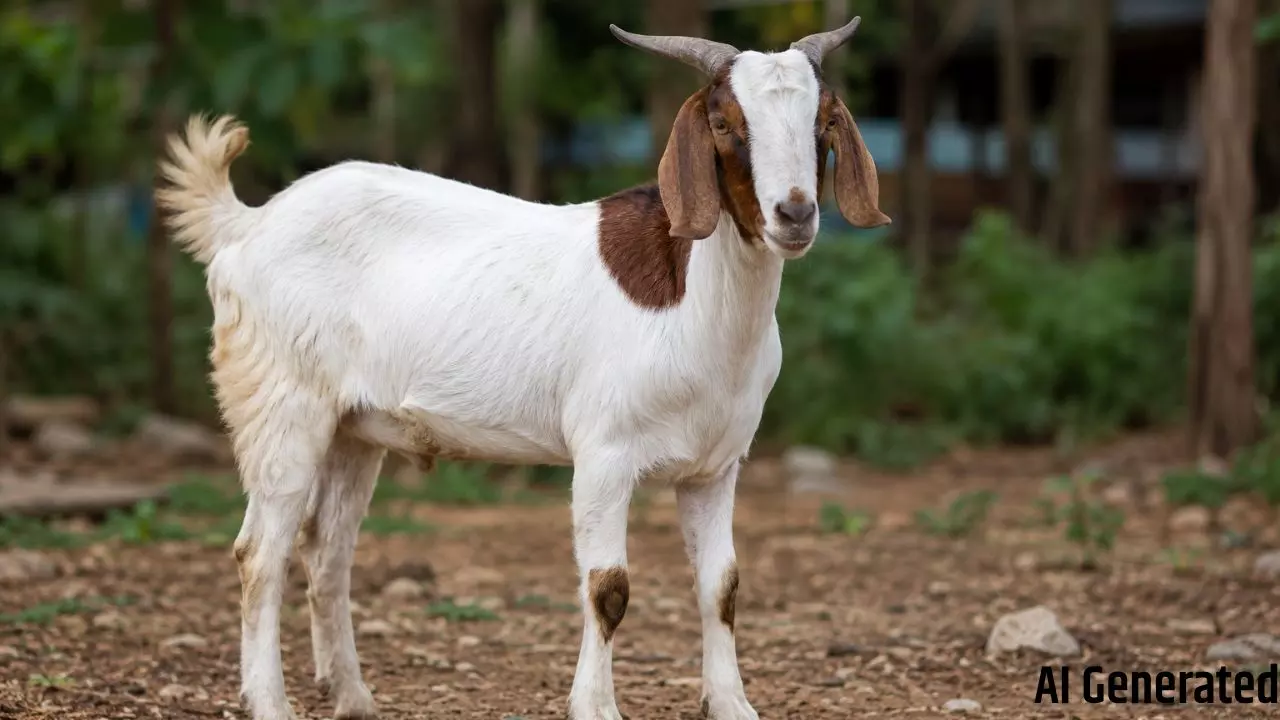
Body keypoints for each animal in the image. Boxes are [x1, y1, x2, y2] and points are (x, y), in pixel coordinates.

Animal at [158, 17, 887, 720]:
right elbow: (608, 589)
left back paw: (354, 698)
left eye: (823, 121)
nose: (794, 213)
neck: (700, 305)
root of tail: (245, 226)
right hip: (281, 404)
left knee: (327, 552)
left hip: (352, 430)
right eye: (725, 124)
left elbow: (722, 587)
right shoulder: (604, 452)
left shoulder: (716, 465)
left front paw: (733, 704)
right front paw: (597, 707)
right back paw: (270, 702)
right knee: (261, 553)